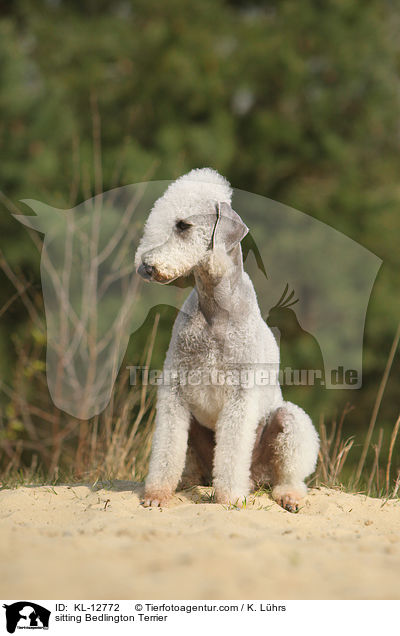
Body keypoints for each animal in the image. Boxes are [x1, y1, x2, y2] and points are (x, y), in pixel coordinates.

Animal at [134, 168, 318, 512]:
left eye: (183, 225)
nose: (146, 266)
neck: (214, 310)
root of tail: (257, 478)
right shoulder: (174, 388)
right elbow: (166, 447)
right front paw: (156, 495)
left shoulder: (240, 395)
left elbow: (232, 451)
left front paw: (230, 498)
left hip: (287, 426)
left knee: (289, 475)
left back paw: (285, 496)